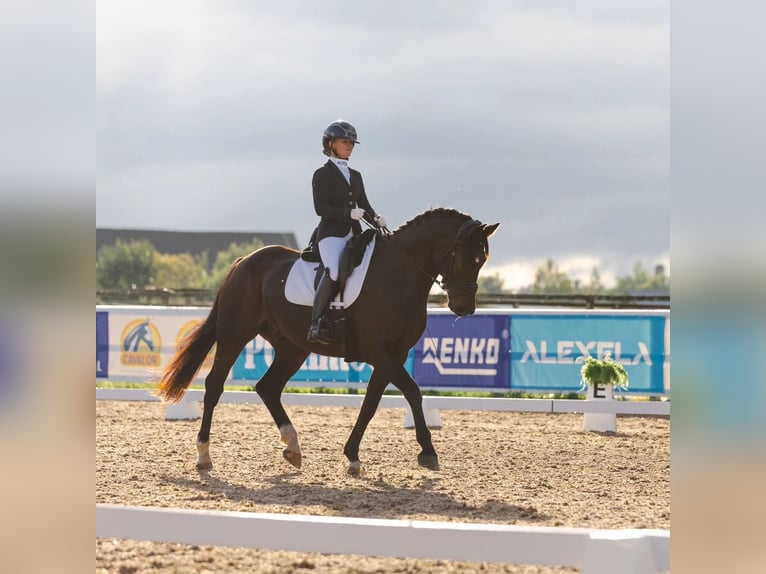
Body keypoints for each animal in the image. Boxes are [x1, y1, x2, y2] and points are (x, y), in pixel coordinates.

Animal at [158, 209, 500, 474]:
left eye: (483, 259)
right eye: (469, 258)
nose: (464, 308)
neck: (398, 274)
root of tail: (243, 262)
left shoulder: (394, 355)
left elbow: (371, 404)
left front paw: (353, 456)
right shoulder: (381, 353)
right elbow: (413, 392)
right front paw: (428, 452)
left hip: (292, 347)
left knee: (268, 387)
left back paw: (293, 447)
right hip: (235, 334)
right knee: (215, 385)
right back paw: (204, 456)